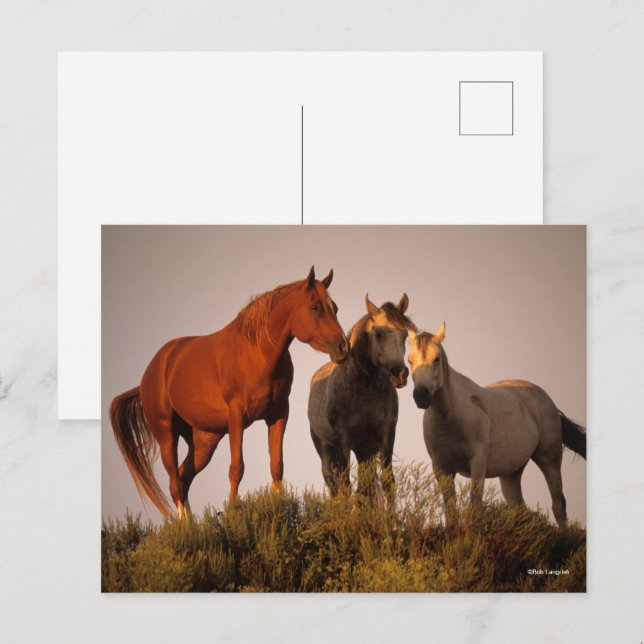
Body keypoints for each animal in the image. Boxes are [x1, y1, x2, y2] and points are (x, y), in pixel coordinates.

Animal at [110, 267, 349, 520]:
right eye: (315, 306)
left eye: (335, 307)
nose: (342, 347)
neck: (258, 353)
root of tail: (150, 373)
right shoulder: (237, 416)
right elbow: (236, 468)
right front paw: (233, 513)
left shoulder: (279, 414)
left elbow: (277, 465)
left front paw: (280, 509)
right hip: (167, 434)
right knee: (175, 482)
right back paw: (184, 527)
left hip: (204, 442)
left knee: (183, 478)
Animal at [308, 294, 416, 501]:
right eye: (378, 333)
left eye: (405, 334)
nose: (399, 373)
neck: (364, 389)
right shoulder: (342, 439)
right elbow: (345, 487)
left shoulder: (386, 434)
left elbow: (388, 482)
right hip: (326, 449)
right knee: (335, 486)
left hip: (365, 451)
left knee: (365, 489)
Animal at [408, 323, 586, 527]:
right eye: (409, 360)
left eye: (436, 358)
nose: (420, 395)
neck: (450, 420)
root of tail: (549, 402)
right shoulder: (440, 467)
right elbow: (451, 509)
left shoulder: (477, 462)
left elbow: (475, 505)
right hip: (511, 473)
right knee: (521, 509)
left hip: (549, 459)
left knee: (558, 505)